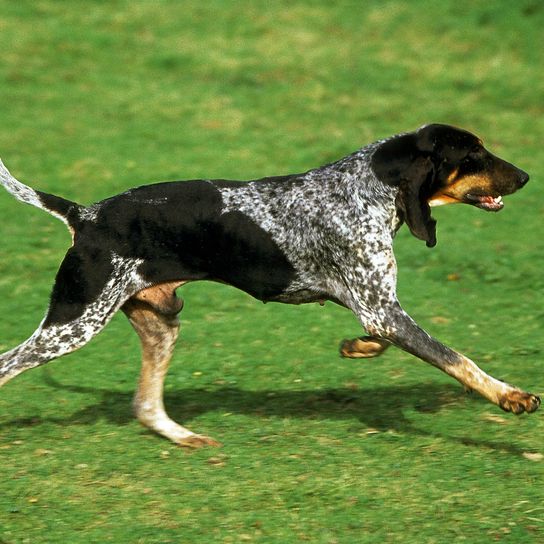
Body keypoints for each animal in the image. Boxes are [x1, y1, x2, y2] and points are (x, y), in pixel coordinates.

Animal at [0, 124, 536, 446]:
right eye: (473, 153)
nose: (527, 176)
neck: (368, 188)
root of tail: (85, 215)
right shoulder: (383, 310)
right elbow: (457, 359)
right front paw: (510, 396)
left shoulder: (379, 310)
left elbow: (383, 340)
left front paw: (356, 348)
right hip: (74, 324)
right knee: (10, 363)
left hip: (160, 325)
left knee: (146, 405)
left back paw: (185, 437)